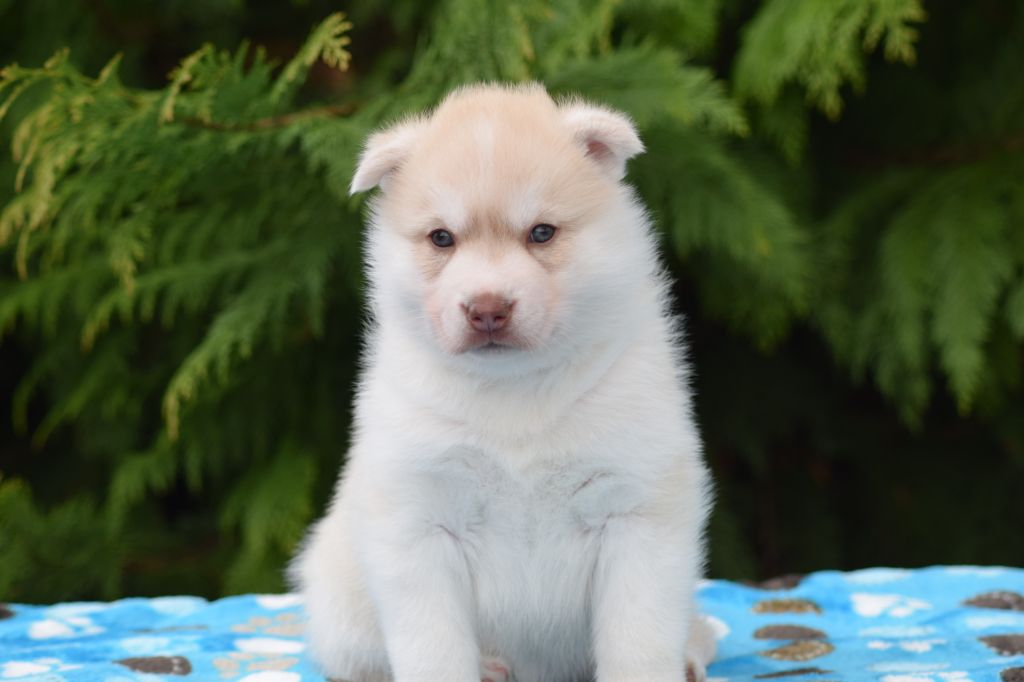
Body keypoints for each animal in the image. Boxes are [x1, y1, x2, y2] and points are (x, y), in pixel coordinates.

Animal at [290, 83, 715, 682]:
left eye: (541, 232)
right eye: (441, 238)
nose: (487, 308)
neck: (515, 394)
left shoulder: (639, 510)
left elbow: (639, 640)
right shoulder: (417, 521)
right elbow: (435, 648)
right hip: (343, 611)